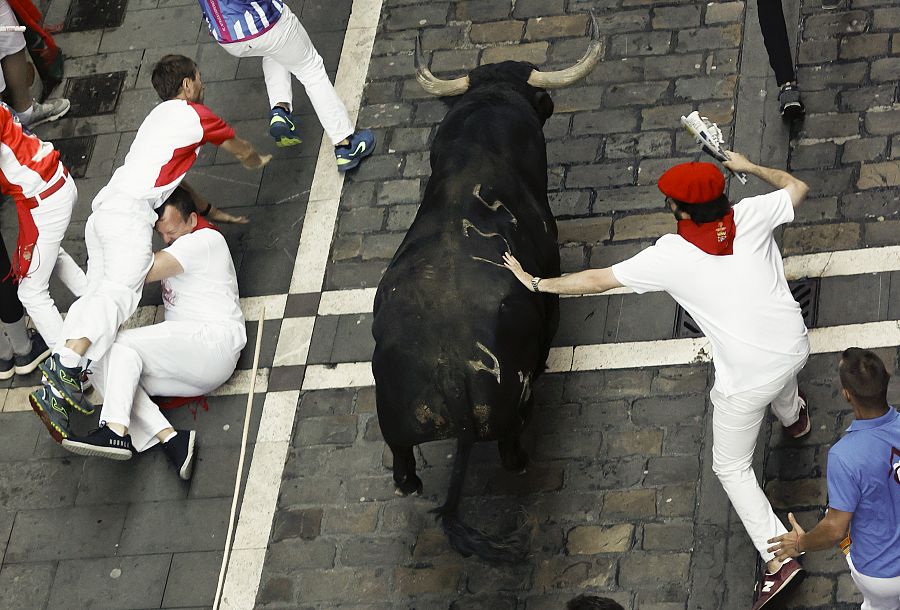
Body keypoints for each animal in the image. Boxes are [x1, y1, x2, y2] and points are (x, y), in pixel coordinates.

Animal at [370, 25, 596, 564]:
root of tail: (452, 372)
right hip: (512, 406)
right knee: (511, 450)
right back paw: (524, 459)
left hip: (394, 423)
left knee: (403, 467)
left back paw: (409, 483)